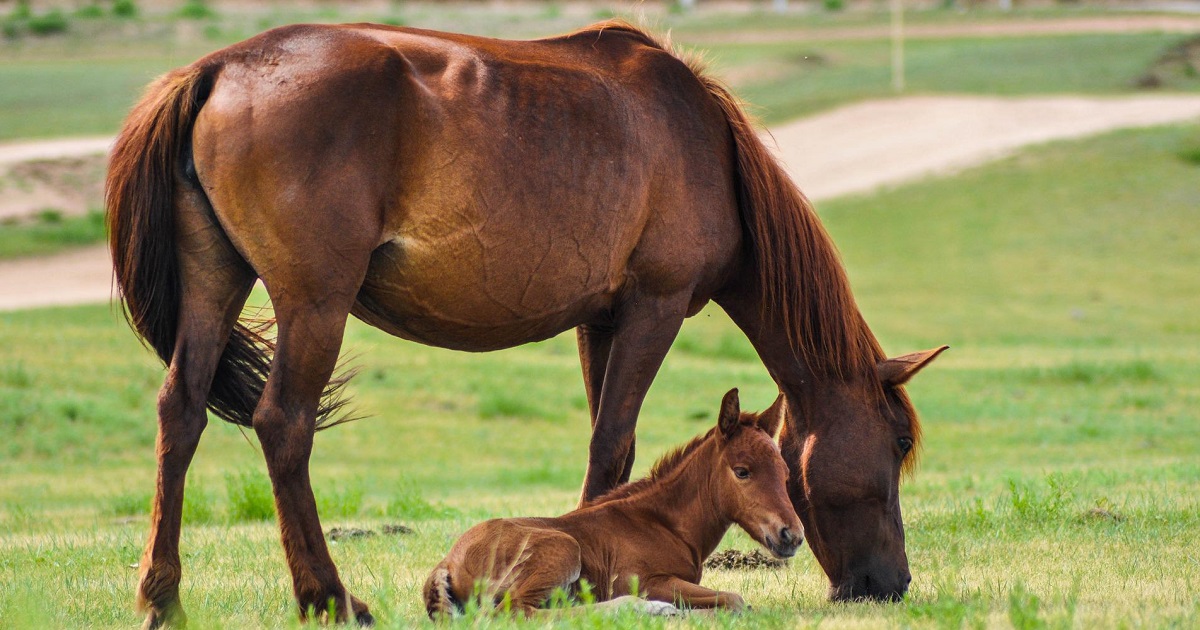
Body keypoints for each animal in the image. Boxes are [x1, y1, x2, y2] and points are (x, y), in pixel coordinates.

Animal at [427, 388, 801, 619]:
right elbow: (735, 600)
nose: (792, 536)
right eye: (742, 471)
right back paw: (643, 608)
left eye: (785, 473)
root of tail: (447, 563)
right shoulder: (647, 580)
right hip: (562, 549)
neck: (664, 524)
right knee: (520, 611)